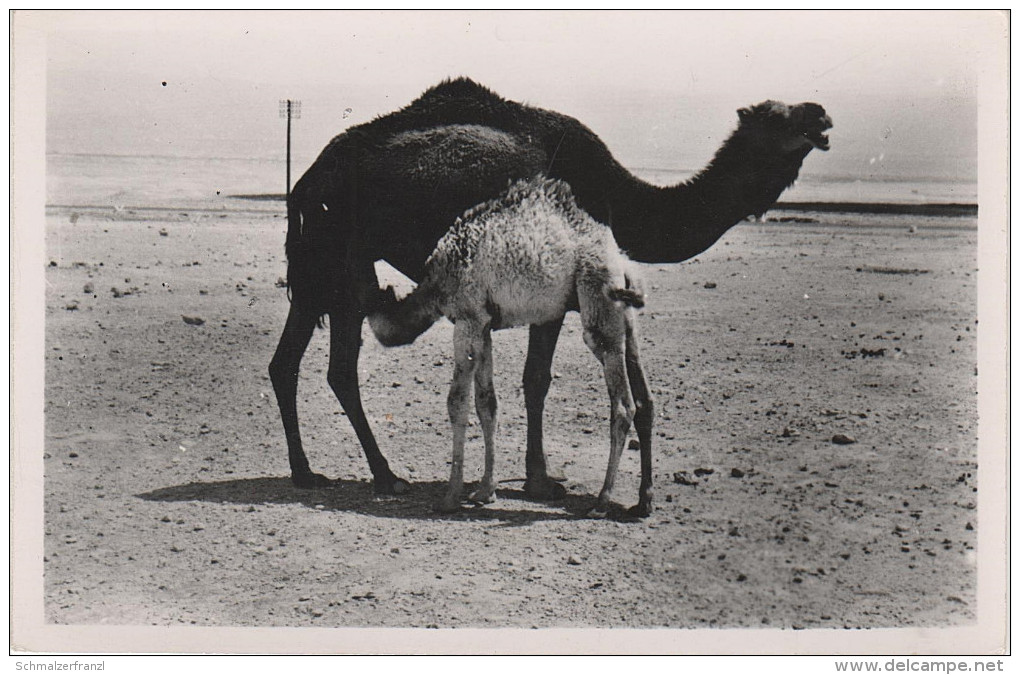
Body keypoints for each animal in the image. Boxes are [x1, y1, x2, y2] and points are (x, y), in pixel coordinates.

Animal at [367, 177, 653, 516]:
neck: (436, 286)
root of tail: (622, 264)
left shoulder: (466, 319)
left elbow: (457, 402)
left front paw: (450, 497)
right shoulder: (484, 325)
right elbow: (487, 403)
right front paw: (485, 491)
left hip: (599, 307)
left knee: (622, 404)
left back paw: (602, 501)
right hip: (626, 321)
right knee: (643, 397)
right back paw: (642, 501)